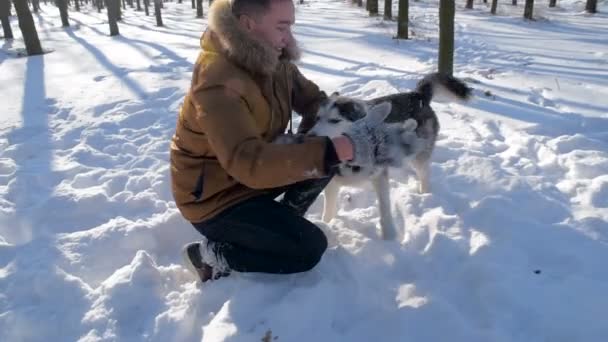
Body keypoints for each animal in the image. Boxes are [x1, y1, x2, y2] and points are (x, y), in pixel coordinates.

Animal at [308, 72, 470, 240]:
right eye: (317, 118)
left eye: (335, 120)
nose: (310, 136)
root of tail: (416, 95)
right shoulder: (332, 183)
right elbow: (328, 211)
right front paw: (326, 225)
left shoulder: (380, 178)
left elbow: (385, 210)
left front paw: (390, 237)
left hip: (420, 156)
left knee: (424, 175)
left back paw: (425, 195)